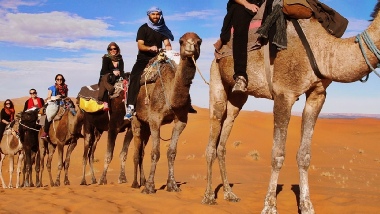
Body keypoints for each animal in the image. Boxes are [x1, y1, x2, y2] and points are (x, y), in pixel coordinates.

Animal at [131, 32, 202, 194]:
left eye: (199, 41)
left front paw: (172, 185)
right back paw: (135, 184)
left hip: (146, 126)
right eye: (181, 41)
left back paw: (142, 181)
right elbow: (155, 153)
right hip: (136, 120)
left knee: (142, 152)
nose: (191, 46)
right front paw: (150, 187)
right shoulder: (155, 119)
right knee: (137, 153)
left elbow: (171, 152)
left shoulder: (181, 120)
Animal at [202, 2, 380, 214]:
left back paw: (230, 194)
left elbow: (304, 156)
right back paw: (208, 196)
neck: (322, 49)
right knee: (214, 131)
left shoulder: (317, 94)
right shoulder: (284, 94)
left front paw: (307, 206)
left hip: (239, 98)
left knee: (224, 138)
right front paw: (269, 206)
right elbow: (277, 155)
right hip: (216, 77)